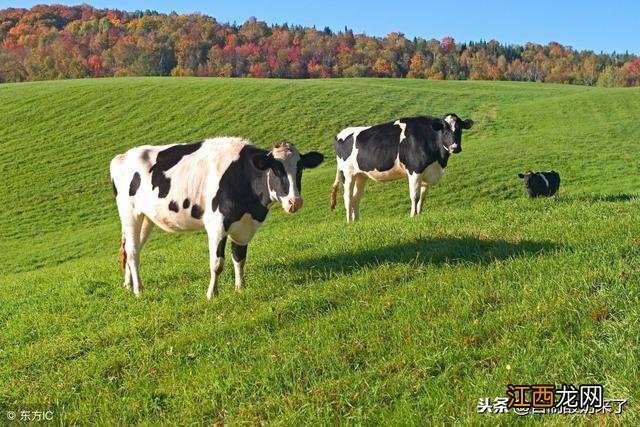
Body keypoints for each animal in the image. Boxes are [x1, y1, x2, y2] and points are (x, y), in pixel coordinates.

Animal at [108, 139, 324, 300]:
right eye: (276, 170)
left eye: (300, 169)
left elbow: (239, 258)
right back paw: (138, 290)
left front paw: (240, 288)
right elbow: (217, 263)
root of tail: (122, 156)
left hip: (146, 218)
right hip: (130, 213)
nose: (294, 202)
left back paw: (128, 285)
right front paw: (212, 294)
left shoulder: (243, 226)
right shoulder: (217, 224)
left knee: (130, 249)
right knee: (132, 252)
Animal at [330, 114, 476, 221]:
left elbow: (422, 198)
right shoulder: (415, 171)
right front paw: (412, 216)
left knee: (356, 198)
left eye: (460, 129)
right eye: (444, 130)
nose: (455, 147)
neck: (438, 162)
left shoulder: (426, 173)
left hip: (361, 175)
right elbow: (415, 196)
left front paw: (419, 214)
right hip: (347, 174)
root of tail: (340, 134)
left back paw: (357, 221)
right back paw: (349, 222)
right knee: (348, 198)